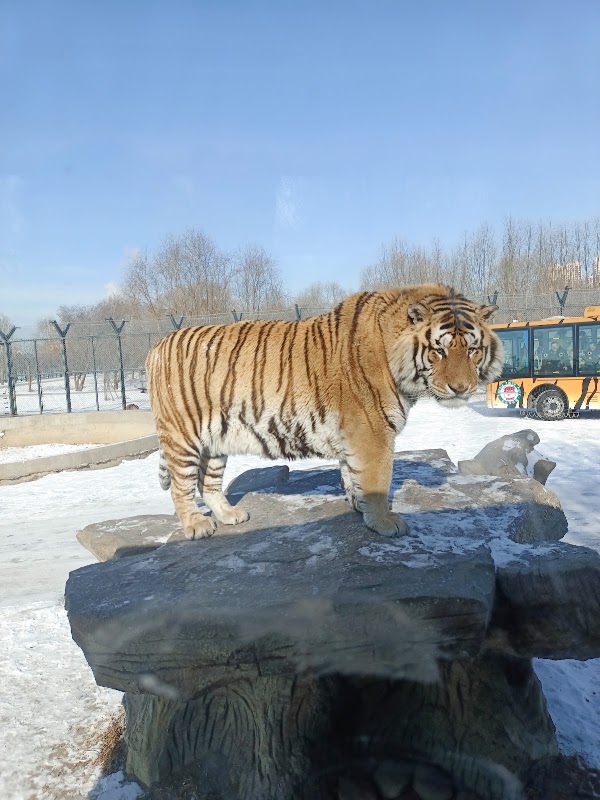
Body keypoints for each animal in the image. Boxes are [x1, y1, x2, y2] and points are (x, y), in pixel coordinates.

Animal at [146, 284, 503, 540]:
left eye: (473, 349)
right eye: (439, 350)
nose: (461, 388)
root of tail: (157, 345)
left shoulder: (356, 434)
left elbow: (353, 475)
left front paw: (359, 508)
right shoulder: (372, 431)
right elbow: (378, 478)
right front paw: (384, 522)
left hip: (217, 439)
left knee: (208, 481)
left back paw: (230, 515)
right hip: (182, 435)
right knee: (181, 485)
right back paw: (197, 526)